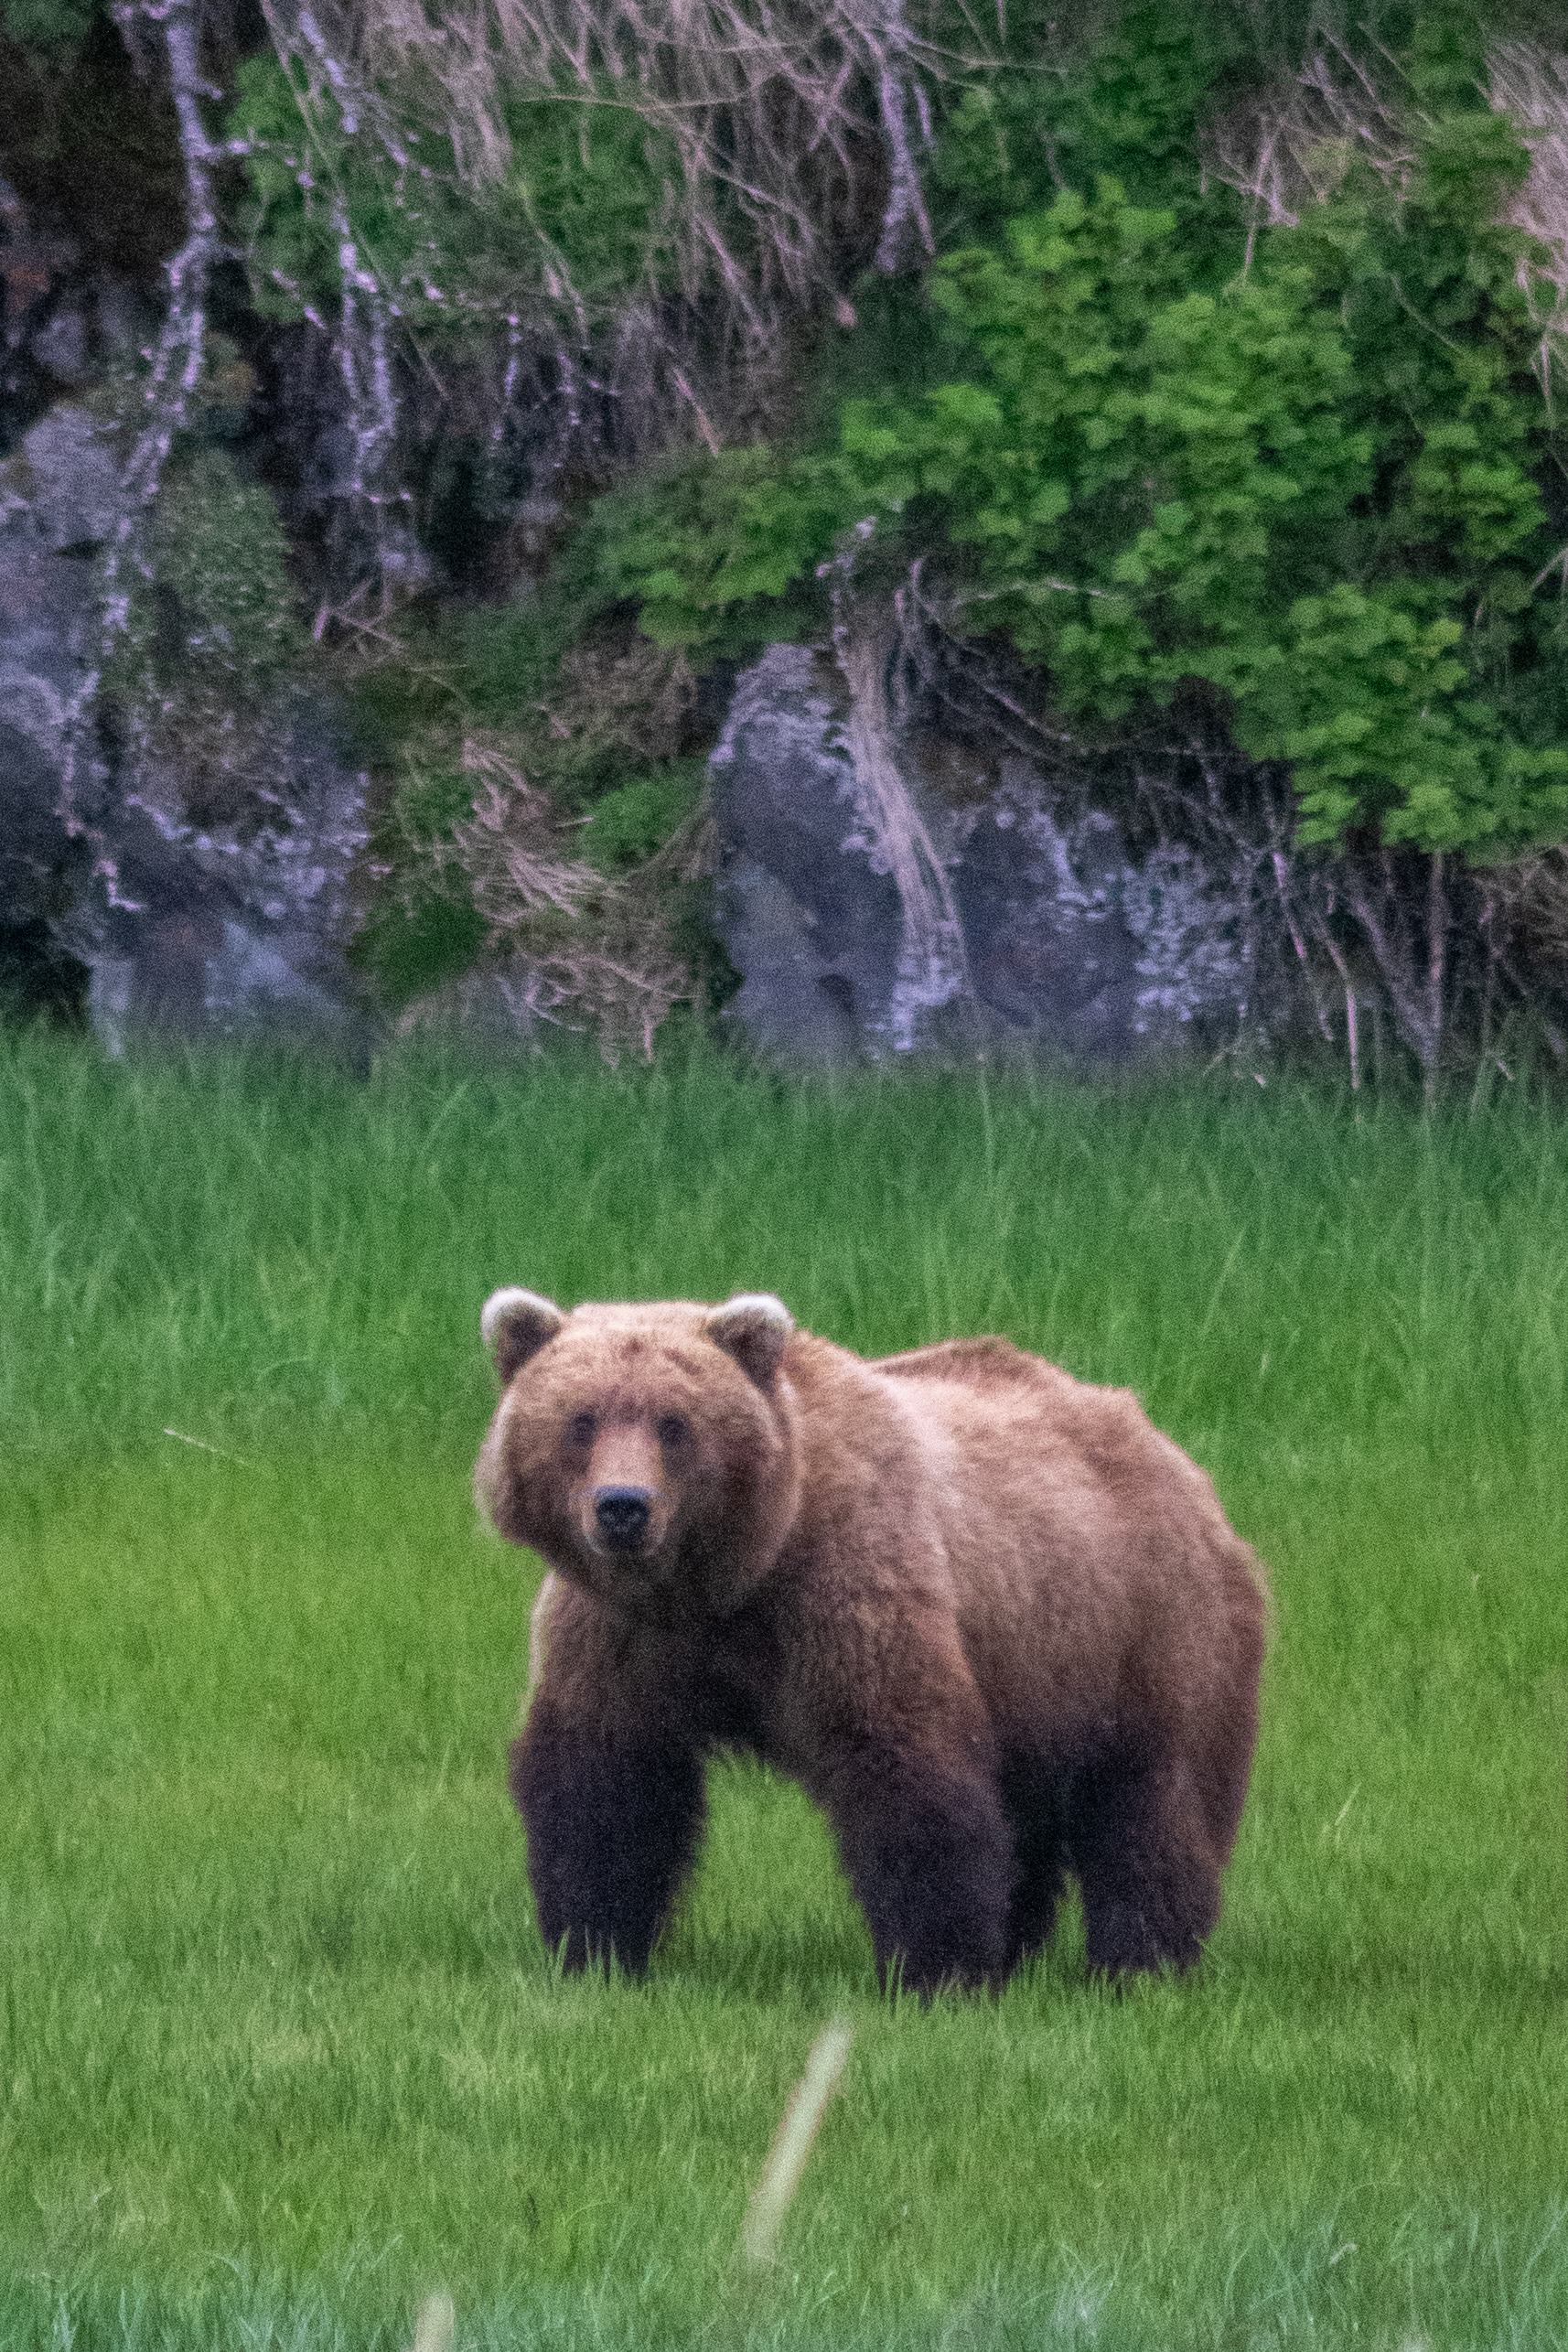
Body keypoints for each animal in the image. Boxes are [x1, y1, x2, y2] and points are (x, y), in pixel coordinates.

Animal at [472, 1288, 1269, 1984]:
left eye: (675, 1422)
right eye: (582, 1418)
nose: (623, 1507)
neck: (729, 1580)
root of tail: (1177, 1457)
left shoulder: (845, 1591)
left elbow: (906, 1771)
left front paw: (938, 1967)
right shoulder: (624, 1634)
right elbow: (607, 1781)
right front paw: (594, 1948)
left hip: (1145, 1625)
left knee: (1154, 1800)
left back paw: (1141, 1963)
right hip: (1033, 1666)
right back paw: (1023, 1944)